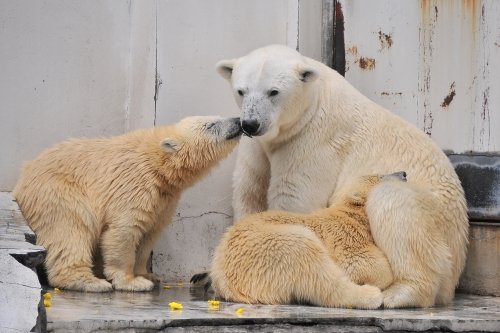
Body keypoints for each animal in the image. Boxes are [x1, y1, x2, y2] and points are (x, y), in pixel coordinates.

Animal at [219, 44, 468, 308]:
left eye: (273, 92)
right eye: (241, 91)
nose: (251, 124)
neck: (313, 102)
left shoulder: (313, 140)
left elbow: (294, 196)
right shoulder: (257, 145)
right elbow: (249, 188)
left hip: (439, 220)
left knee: (394, 203)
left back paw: (397, 294)